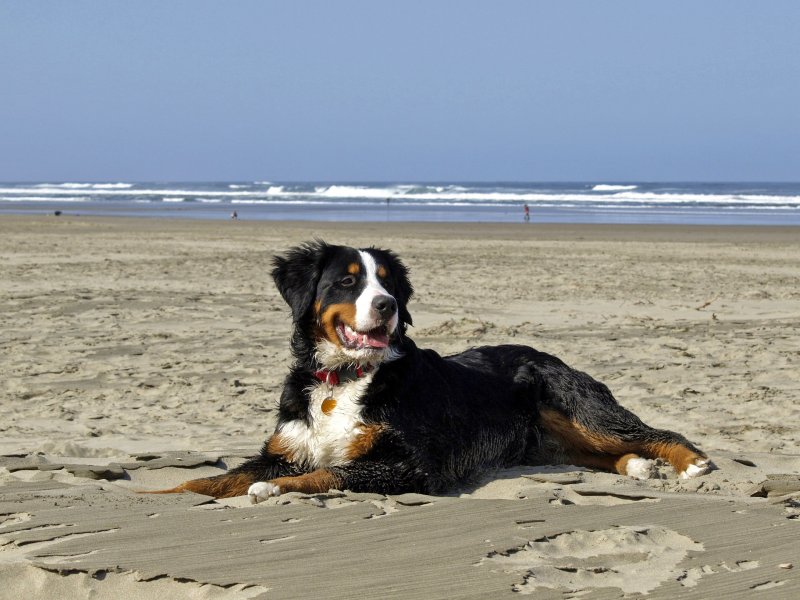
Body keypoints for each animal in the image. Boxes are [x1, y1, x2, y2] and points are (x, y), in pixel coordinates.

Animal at [158, 241, 712, 504]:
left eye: (388, 285)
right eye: (347, 281)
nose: (386, 306)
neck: (346, 378)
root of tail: (548, 354)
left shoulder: (410, 464)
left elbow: (327, 473)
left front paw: (274, 490)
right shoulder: (283, 449)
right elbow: (211, 480)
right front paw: (154, 495)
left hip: (581, 408)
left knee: (656, 432)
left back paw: (690, 463)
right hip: (550, 442)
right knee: (601, 454)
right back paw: (637, 468)